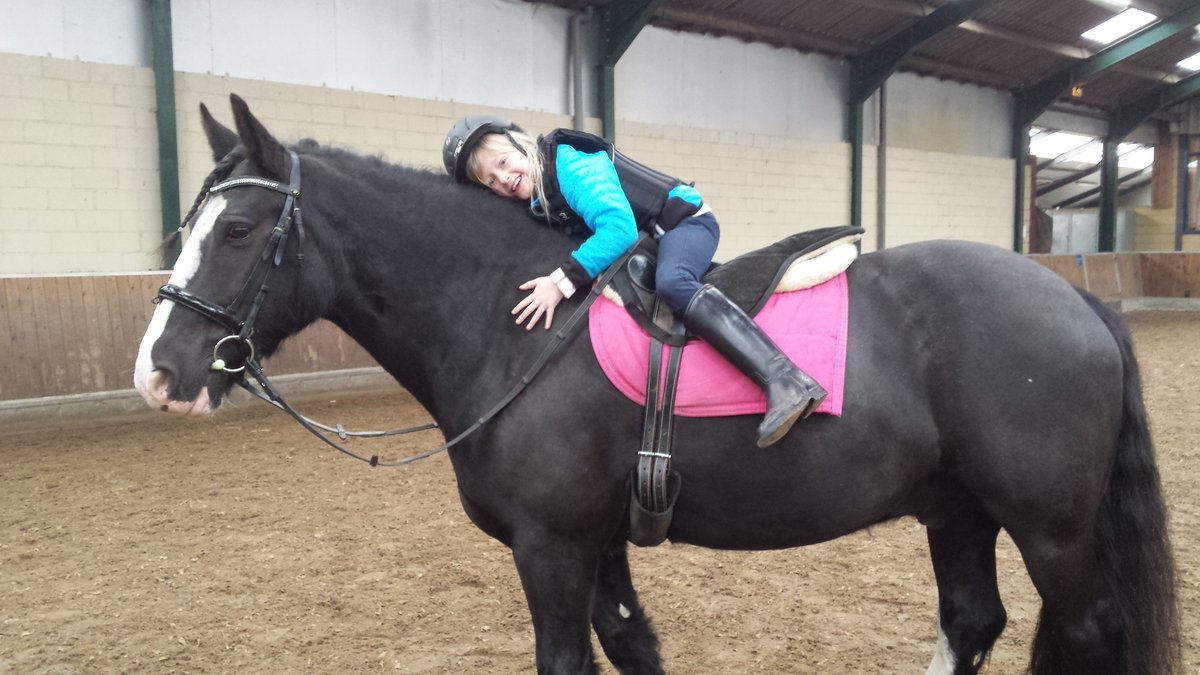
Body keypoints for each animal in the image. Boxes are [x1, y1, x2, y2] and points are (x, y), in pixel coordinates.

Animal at [134, 95, 1179, 674]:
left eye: (237, 231)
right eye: (187, 224)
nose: (159, 372)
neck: (509, 323)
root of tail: (1075, 298)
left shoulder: (551, 546)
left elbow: (566, 659)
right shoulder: (597, 542)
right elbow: (633, 645)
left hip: (1050, 525)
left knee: (1084, 634)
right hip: (956, 507)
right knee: (971, 622)